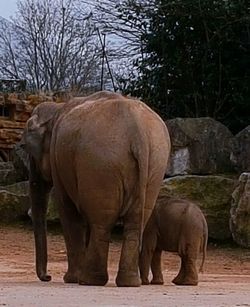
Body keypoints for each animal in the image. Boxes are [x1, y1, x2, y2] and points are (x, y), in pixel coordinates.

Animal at [21, 90, 171, 288]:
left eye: (26, 149)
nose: (48, 277)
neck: (57, 107)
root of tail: (138, 132)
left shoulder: (57, 159)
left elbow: (68, 210)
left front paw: (71, 279)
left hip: (100, 163)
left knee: (101, 222)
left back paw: (88, 280)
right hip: (155, 166)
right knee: (134, 221)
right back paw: (129, 282)